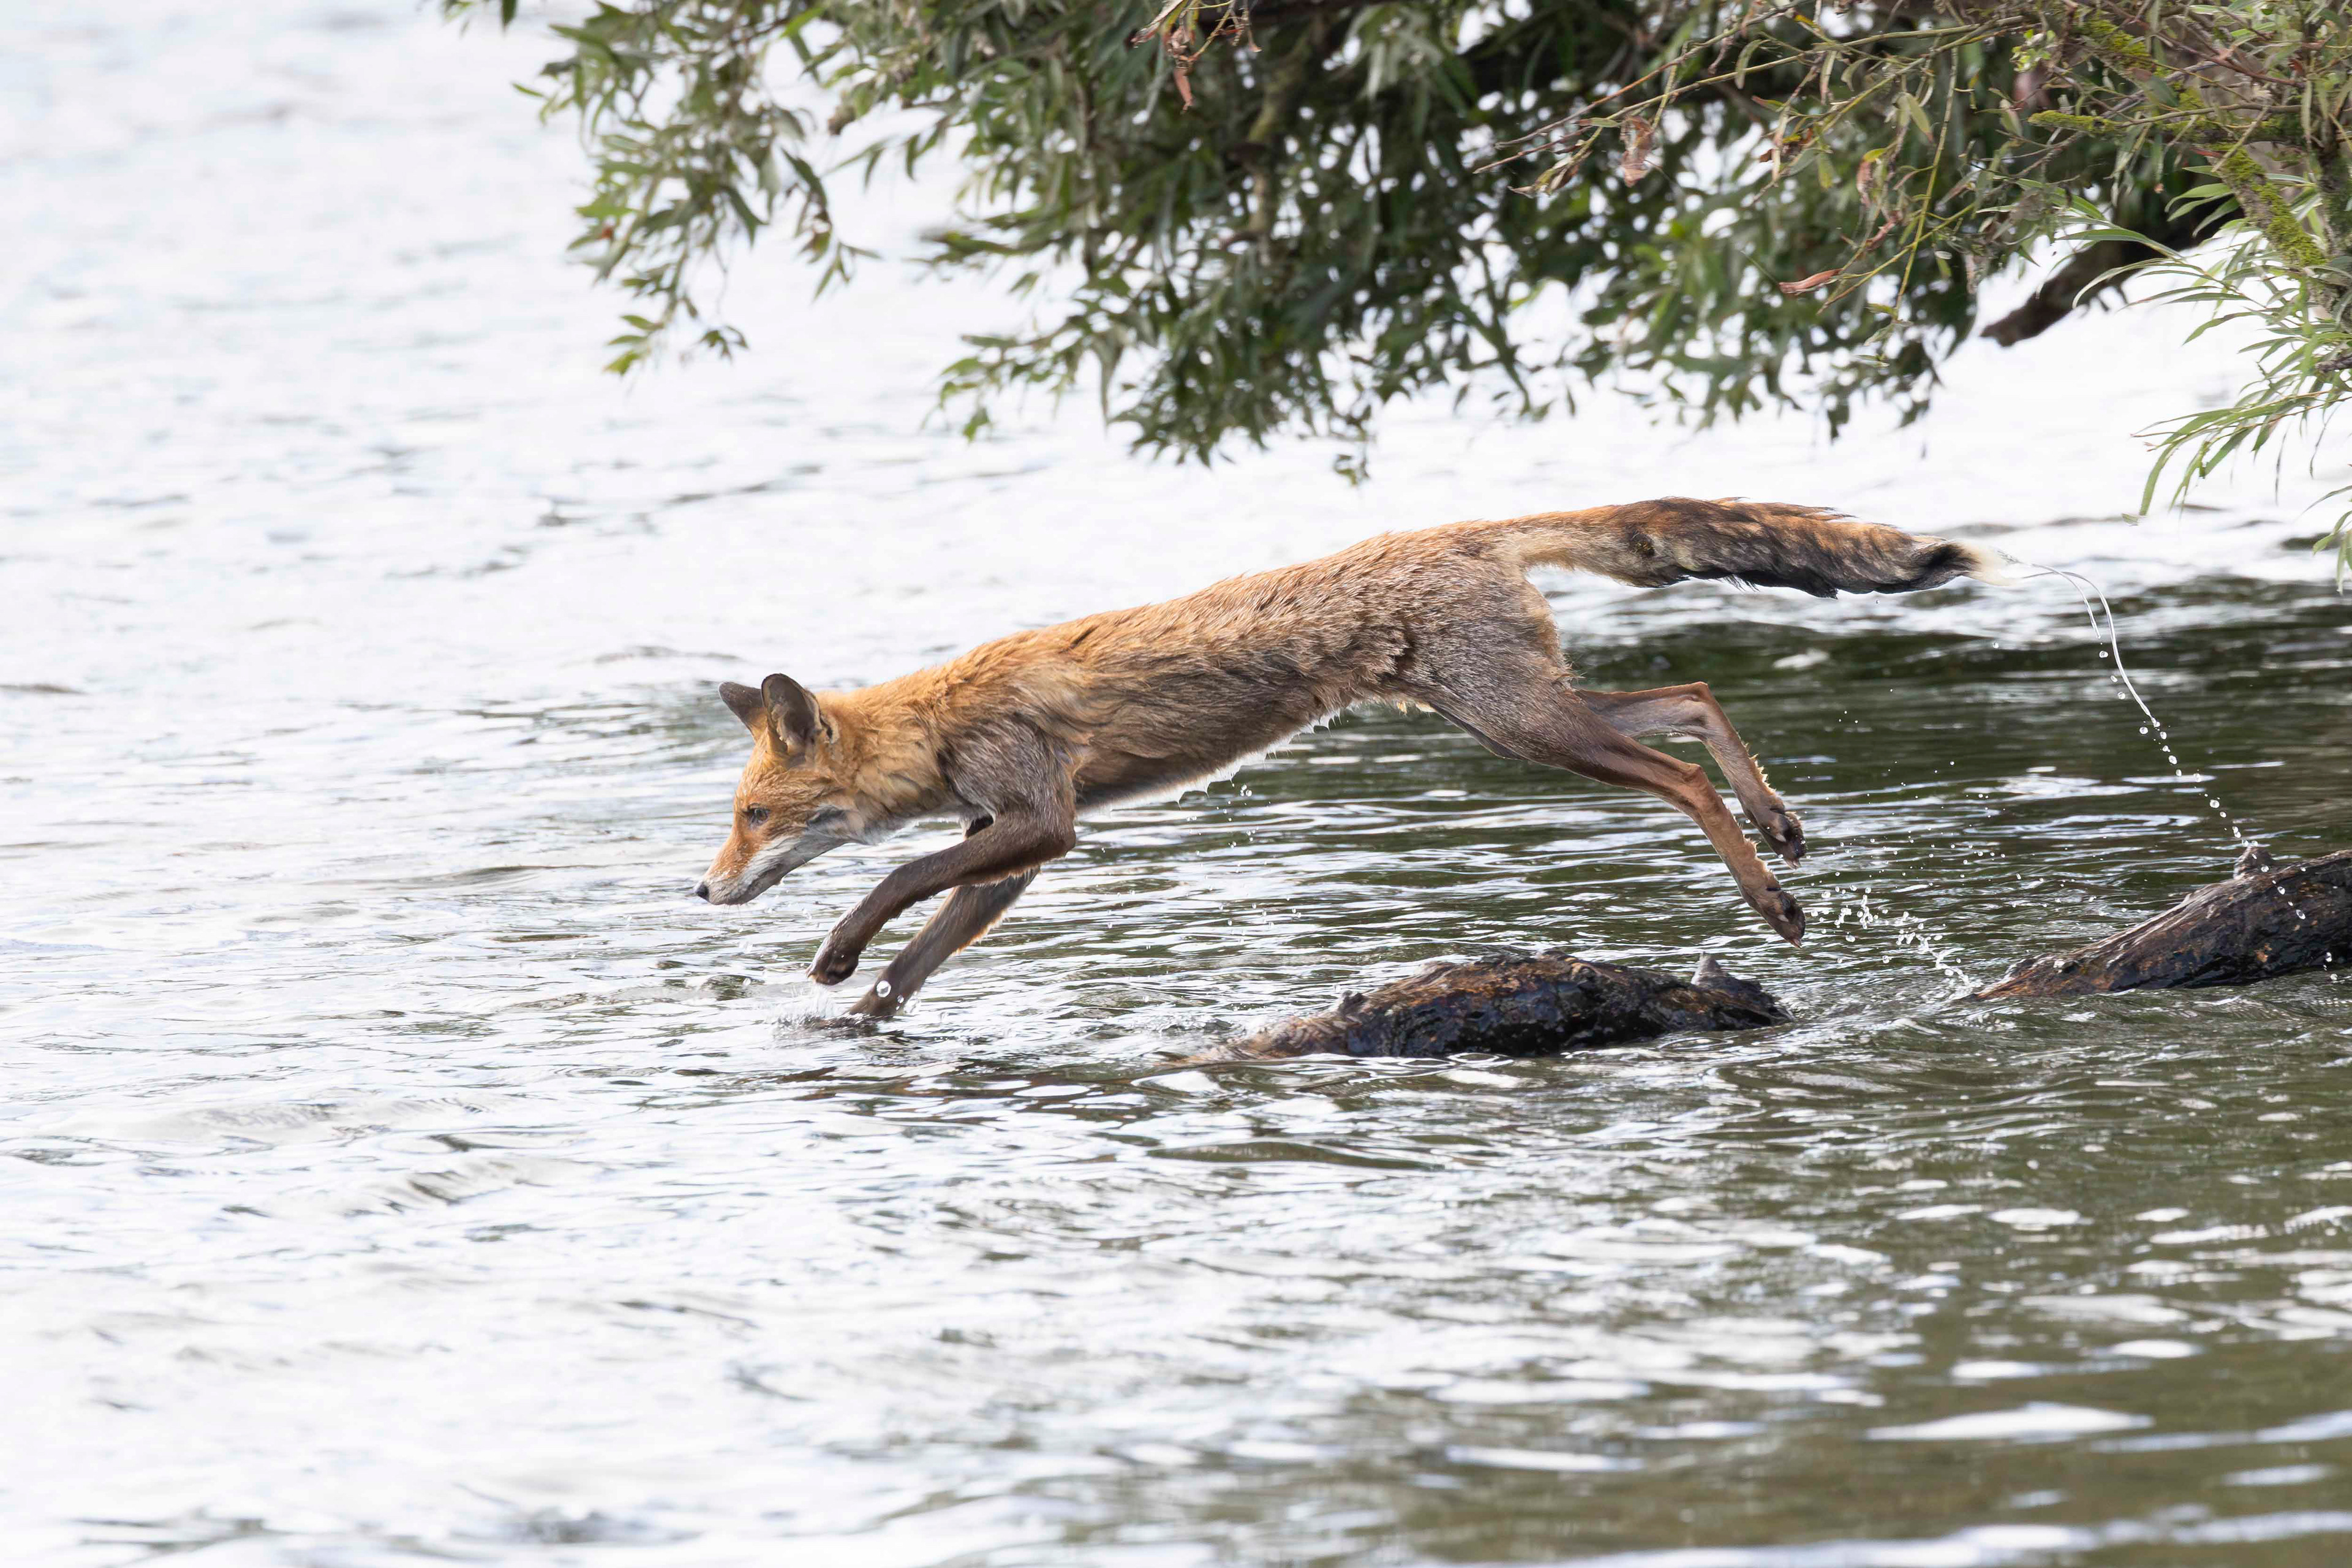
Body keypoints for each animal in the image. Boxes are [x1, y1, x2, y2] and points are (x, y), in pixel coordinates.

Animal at [694, 497, 2006, 1018]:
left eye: (755, 815)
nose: (699, 890)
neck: (943, 721)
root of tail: (1465, 529)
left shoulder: (1038, 817)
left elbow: (894, 877)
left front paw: (834, 955)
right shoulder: (1013, 850)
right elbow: (925, 947)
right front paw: (860, 1013)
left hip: (1524, 728)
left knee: (1682, 771)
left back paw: (1768, 893)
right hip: (1520, 712)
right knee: (1691, 699)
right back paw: (1779, 826)